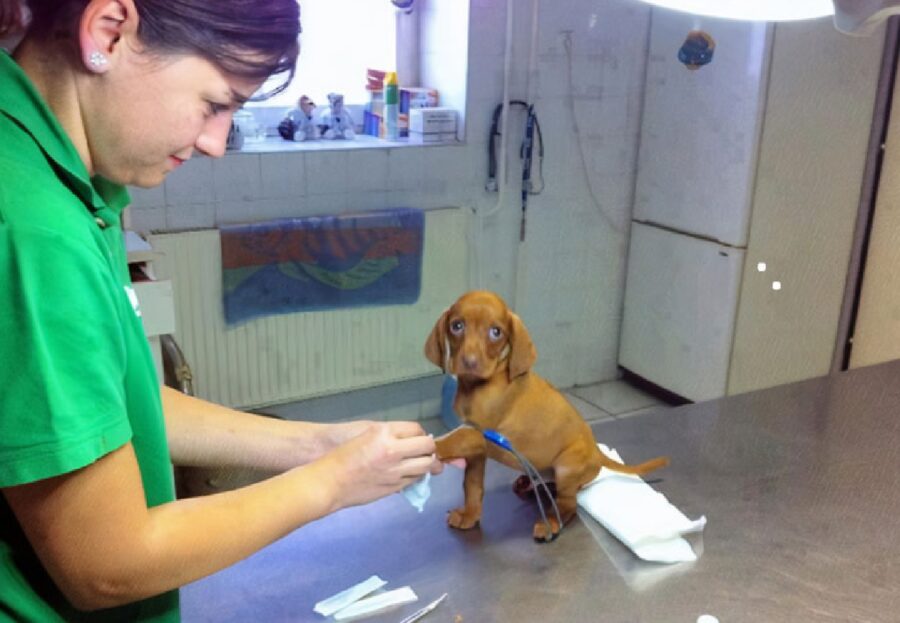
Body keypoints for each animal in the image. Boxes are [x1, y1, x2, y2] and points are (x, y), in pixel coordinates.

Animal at [428, 292, 668, 540]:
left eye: (496, 332)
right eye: (457, 326)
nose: (470, 362)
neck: (477, 386)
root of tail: (597, 452)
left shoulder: (478, 433)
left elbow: (452, 440)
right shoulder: (477, 451)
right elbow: (472, 485)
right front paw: (470, 514)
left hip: (566, 466)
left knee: (569, 503)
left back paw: (551, 522)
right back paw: (528, 483)